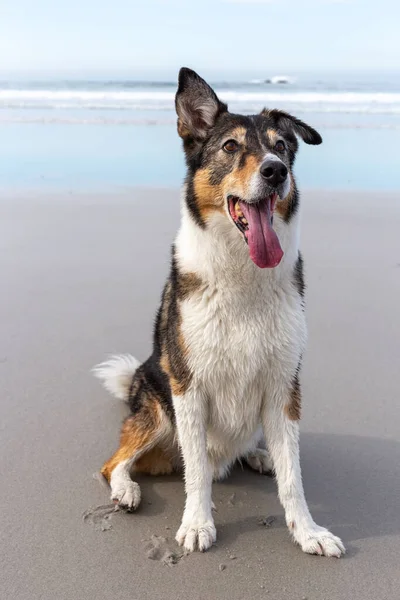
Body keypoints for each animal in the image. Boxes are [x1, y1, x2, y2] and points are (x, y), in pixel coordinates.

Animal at [93, 67, 344, 556]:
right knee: (114, 462)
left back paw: (258, 454)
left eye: (281, 146)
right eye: (230, 147)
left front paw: (308, 532)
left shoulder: (284, 386)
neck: (241, 272)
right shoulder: (188, 387)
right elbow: (196, 474)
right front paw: (196, 523)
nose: (275, 171)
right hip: (157, 405)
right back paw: (127, 489)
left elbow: (293, 478)